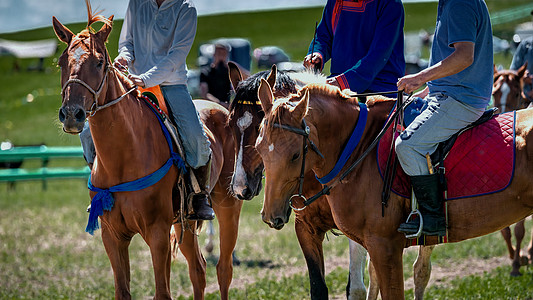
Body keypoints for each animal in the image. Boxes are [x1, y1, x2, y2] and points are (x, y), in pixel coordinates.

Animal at [225, 63, 432, 300]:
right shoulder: (306, 227)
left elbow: (357, 288)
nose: (240, 187)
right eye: (230, 124)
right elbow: (318, 286)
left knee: (420, 270)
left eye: (259, 122)